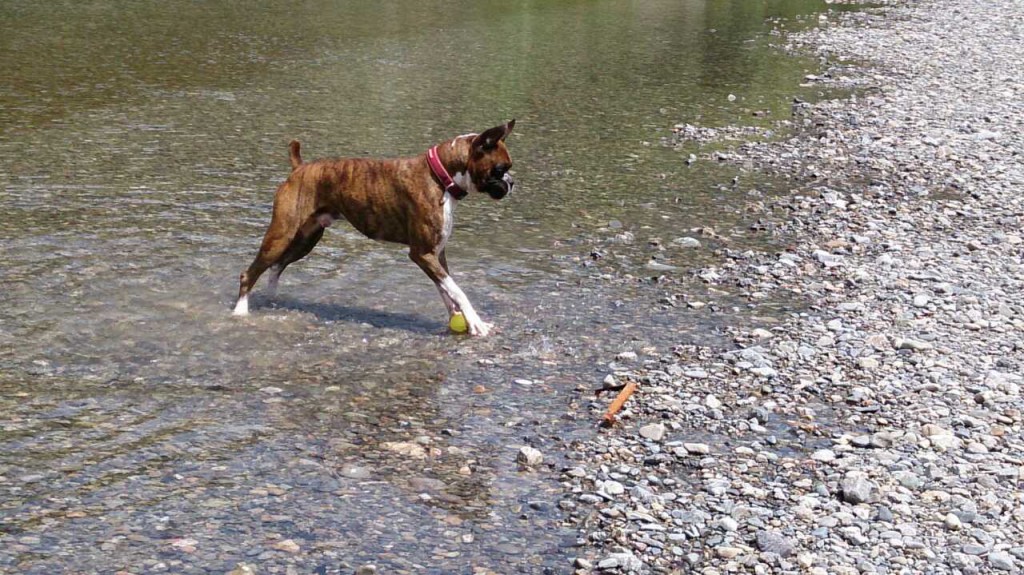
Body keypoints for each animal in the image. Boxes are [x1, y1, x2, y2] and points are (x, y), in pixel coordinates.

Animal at [234, 120, 516, 335]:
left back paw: (272, 299)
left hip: (305, 239)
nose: (512, 182)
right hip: (281, 235)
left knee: (276, 266)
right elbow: (457, 290)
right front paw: (477, 324)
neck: (440, 175)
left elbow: (448, 290)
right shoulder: (423, 254)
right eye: (500, 169)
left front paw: (462, 321)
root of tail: (299, 167)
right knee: (251, 272)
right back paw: (240, 311)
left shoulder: (437, 254)